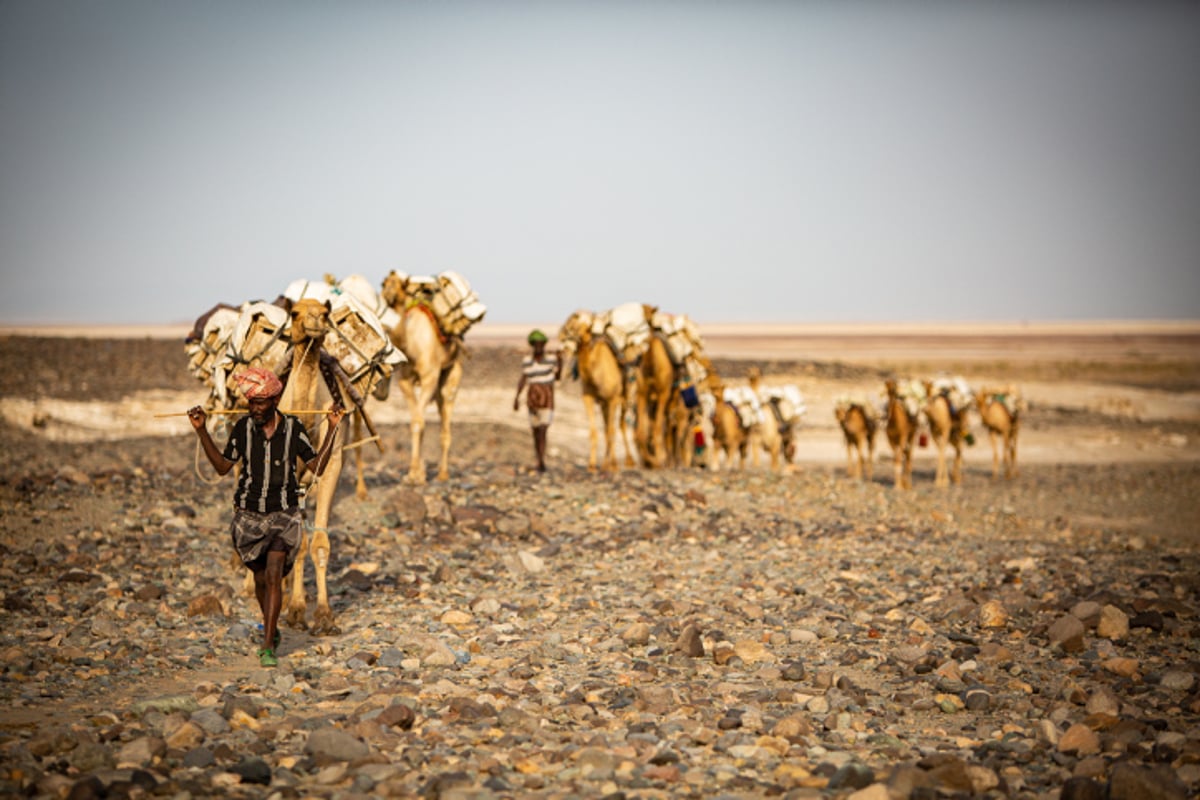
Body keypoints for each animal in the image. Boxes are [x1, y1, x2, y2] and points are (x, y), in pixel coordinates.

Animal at [379, 271, 463, 482]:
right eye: (383, 284)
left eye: (400, 286)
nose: (388, 295)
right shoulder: (405, 381)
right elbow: (415, 422)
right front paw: (416, 472)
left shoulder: (429, 378)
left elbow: (419, 422)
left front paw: (416, 474)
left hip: (452, 373)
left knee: (445, 422)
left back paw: (443, 473)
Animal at [559, 307, 638, 470]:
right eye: (569, 322)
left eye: (576, 324)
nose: (562, 335)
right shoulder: (588, 398)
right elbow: (594, 432)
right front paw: (592, 465)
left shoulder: (613, 399)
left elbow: (611, 430)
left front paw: (613, 465)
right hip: (604, 404)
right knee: (608, 426)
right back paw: (606, 463)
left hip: (625, 398)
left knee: (620, 425)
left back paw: (628, 461)